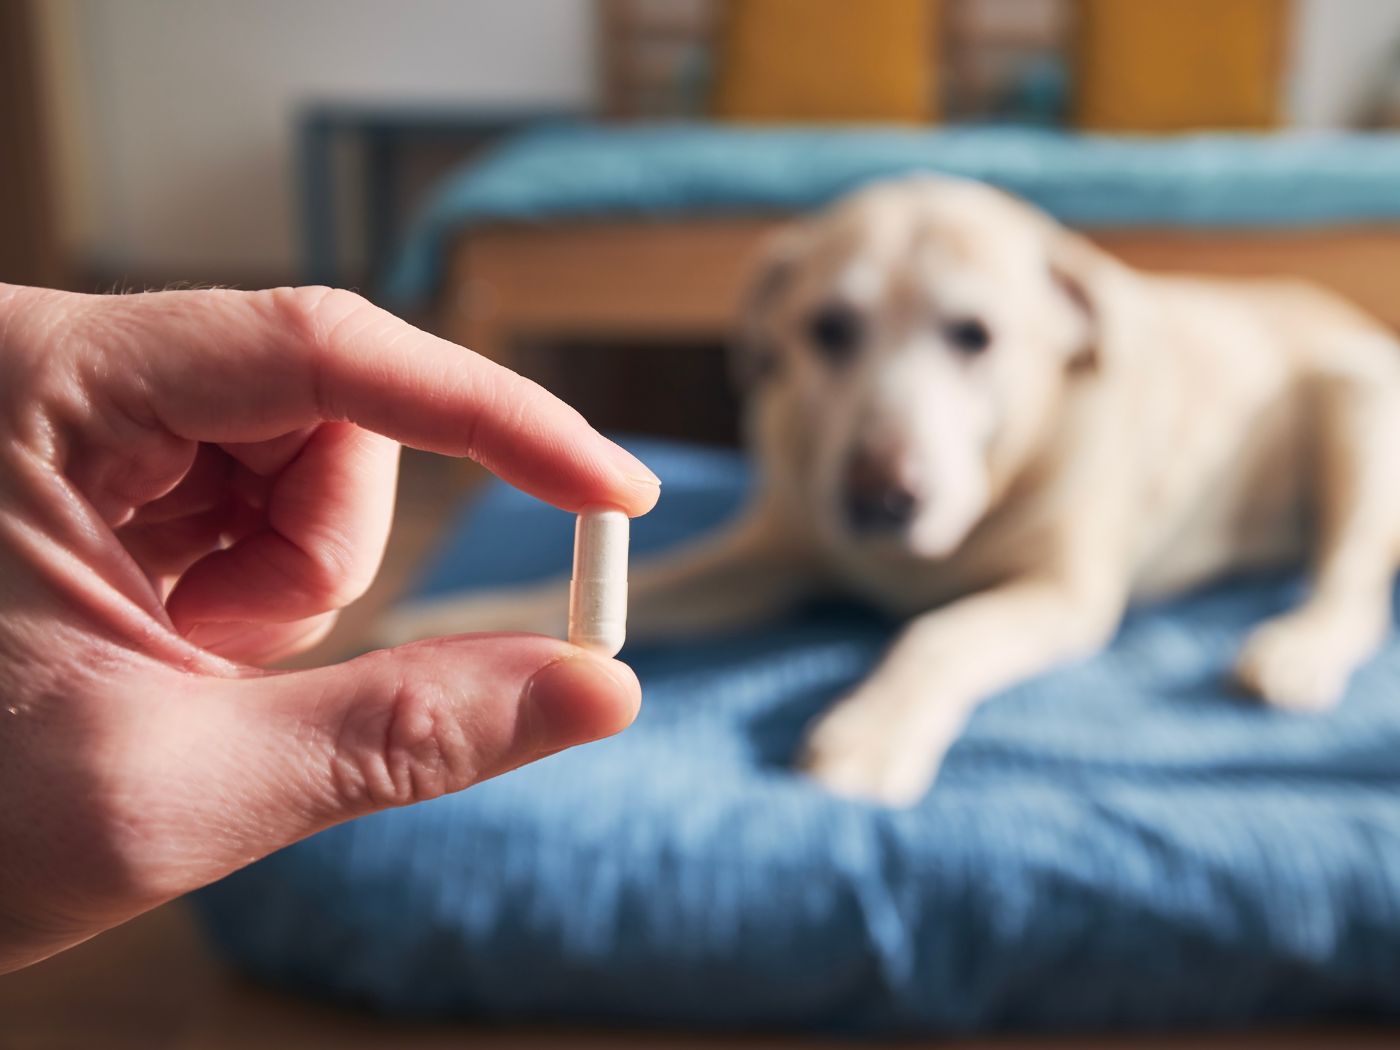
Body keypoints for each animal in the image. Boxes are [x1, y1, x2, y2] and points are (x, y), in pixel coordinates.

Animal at [378, 179, 1400, 806]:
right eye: (829, 328)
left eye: (975, 336)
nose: (881, 497)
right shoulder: (760, 562)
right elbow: (624, 587)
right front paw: (436, 628)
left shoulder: (1062, 593)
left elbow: (938, 634)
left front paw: (870, 731)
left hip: (1355, 403)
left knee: (1352, 588)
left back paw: (1296, 650)